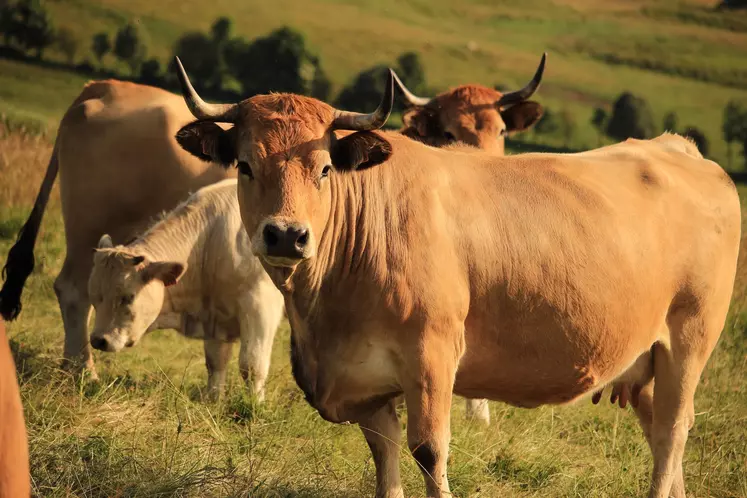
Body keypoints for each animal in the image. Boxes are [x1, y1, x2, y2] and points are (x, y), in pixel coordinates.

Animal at [87, 180, 284, 400]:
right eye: (94, 297)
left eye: (127, 297)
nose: (98, 340)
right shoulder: (217, 318)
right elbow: (216, 363)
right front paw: (213, 401)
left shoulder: (261, 307)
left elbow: (252, 366)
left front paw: (255, 404)